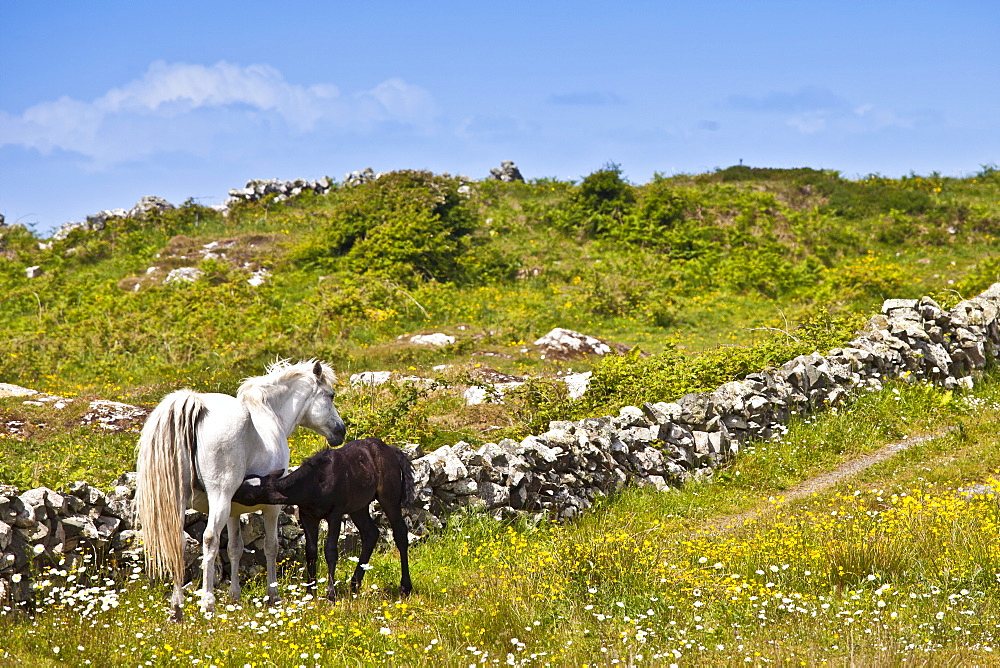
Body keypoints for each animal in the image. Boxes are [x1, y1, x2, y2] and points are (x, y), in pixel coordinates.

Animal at [135, 360, 348, 620]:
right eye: (331, 395)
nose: (341, 431)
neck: (268, 414)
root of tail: (196, 404)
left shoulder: (233, 512)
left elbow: (235, 549)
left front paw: (234, 596)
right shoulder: (272, 507)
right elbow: (271, 546)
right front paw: (273, 595)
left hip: (181, 502)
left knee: (178, 543)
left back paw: (177, 608)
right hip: (219, 498)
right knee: (210, 539)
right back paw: (207, 603)